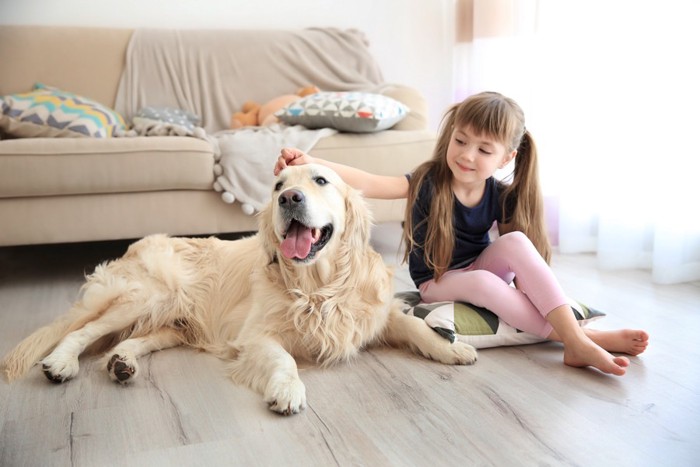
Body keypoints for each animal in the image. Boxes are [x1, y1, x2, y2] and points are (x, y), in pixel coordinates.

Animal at [1, 163, 476, 414]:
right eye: (279, 185)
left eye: (320, 180)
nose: (289, 199)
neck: (318, 287)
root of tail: (136, 245)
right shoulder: (255, 335)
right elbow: (285, 358)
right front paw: (288, 390)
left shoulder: (371, 313)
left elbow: (412, 327)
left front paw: (450, 348)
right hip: (144, 296)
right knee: (80, 331)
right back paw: (61, 363)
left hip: (173, 323)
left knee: (131, 339)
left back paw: (123, 363)